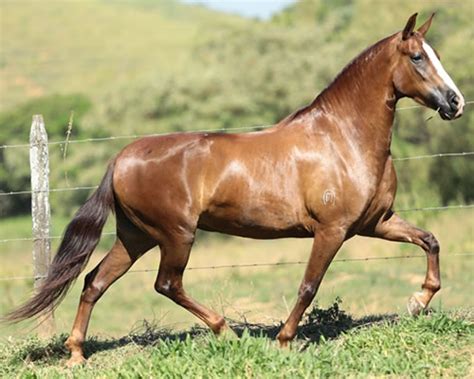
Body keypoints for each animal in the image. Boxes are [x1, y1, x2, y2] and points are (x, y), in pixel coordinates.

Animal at [3, 13, 464, 366]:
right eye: (418, 57)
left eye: (438, 55)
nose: (455, 102)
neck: (343, 139)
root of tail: (122, 157)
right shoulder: (331, 230)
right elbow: (309, 286)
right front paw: (284, 340)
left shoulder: (375, 223)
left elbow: (430, 241)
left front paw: (418, 302)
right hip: (175, 235)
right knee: (166, 284)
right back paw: (226, 331)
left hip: (136, 237)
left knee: (94, 282)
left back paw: (76, 354)